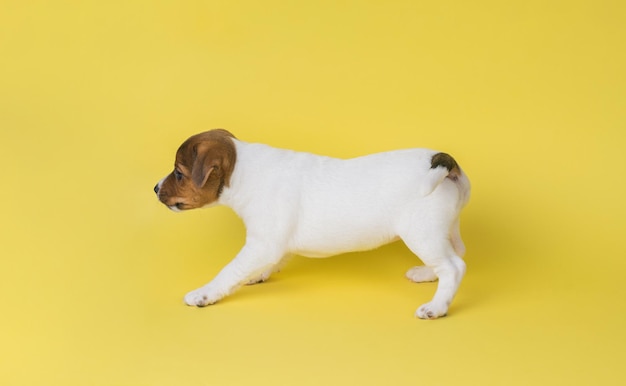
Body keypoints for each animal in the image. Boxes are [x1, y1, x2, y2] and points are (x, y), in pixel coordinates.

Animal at [155, 130, 468, 320]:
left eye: (179, 173)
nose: (155, 188)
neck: (243, 171)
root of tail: (443, 163)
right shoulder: (272, 244)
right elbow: (264, 263)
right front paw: (256, 275)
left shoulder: (262, 243)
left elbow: (229, 270)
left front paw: (205, 294)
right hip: (443, 230)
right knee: (454, 255)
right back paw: (426, 274)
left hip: (421, 233)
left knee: (453, 267)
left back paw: (437, 307)